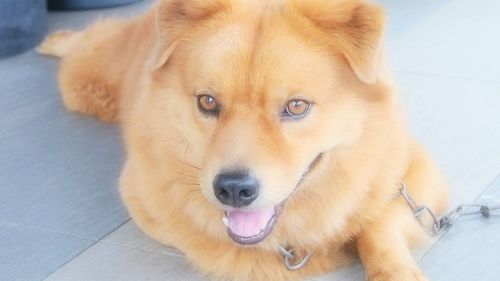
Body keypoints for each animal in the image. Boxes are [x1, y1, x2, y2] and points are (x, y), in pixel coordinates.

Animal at [37, 1, 448, 278]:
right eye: (207, 102)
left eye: (296, 106)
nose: (233, 190)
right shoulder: (144, 198)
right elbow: (224, 247)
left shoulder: (412, 174)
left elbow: (377, 225)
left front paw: (395, 270)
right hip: (86, 83)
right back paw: (57, 39)